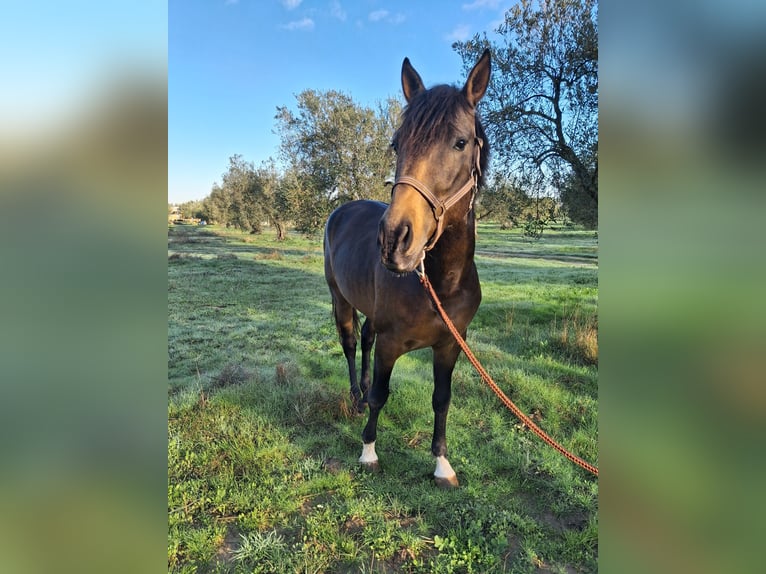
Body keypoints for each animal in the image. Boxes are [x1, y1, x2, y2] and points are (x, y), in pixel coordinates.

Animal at [323, 50, 491, 488]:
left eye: (460, 142)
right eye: (397, 143)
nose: (394, 239)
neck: (440, 283)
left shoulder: (450, 345)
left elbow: (441, 399)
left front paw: (442, 464)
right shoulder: (392, 344)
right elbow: (381, 396)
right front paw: (368, 451)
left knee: (364, 338)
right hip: (339, 298)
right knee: (350, 343)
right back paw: (355, 396)